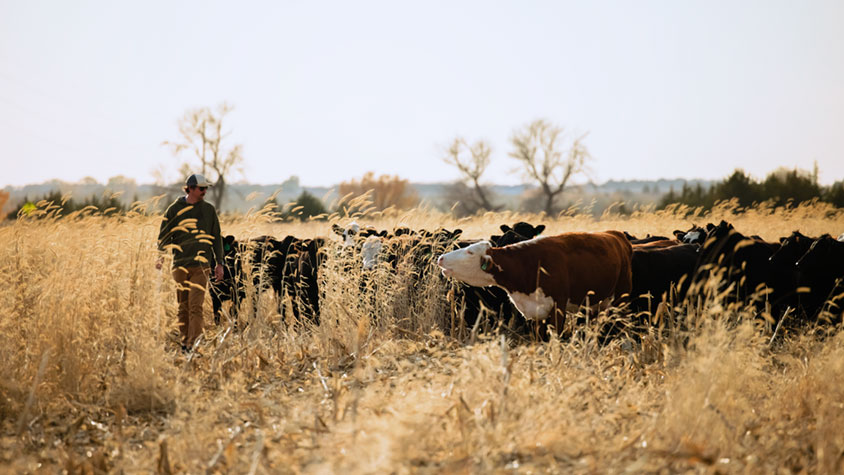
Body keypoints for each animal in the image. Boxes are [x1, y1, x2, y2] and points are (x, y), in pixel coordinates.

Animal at [437, 231, 633, 334]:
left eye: (470, 252)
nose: (440, 258)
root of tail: (615, 235)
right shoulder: (537, 312)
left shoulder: (558, 308)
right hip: (592, 305)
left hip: (621, 300)